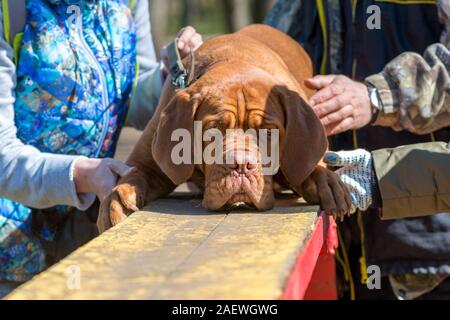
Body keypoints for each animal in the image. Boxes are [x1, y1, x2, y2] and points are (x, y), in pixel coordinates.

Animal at [97, 23, 352, 231]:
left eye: (269, 132)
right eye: (213, 130)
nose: (241, 165)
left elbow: (304, 164)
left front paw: (325, 181)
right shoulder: (148, 164)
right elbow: (132, 176)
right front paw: (116, 203)